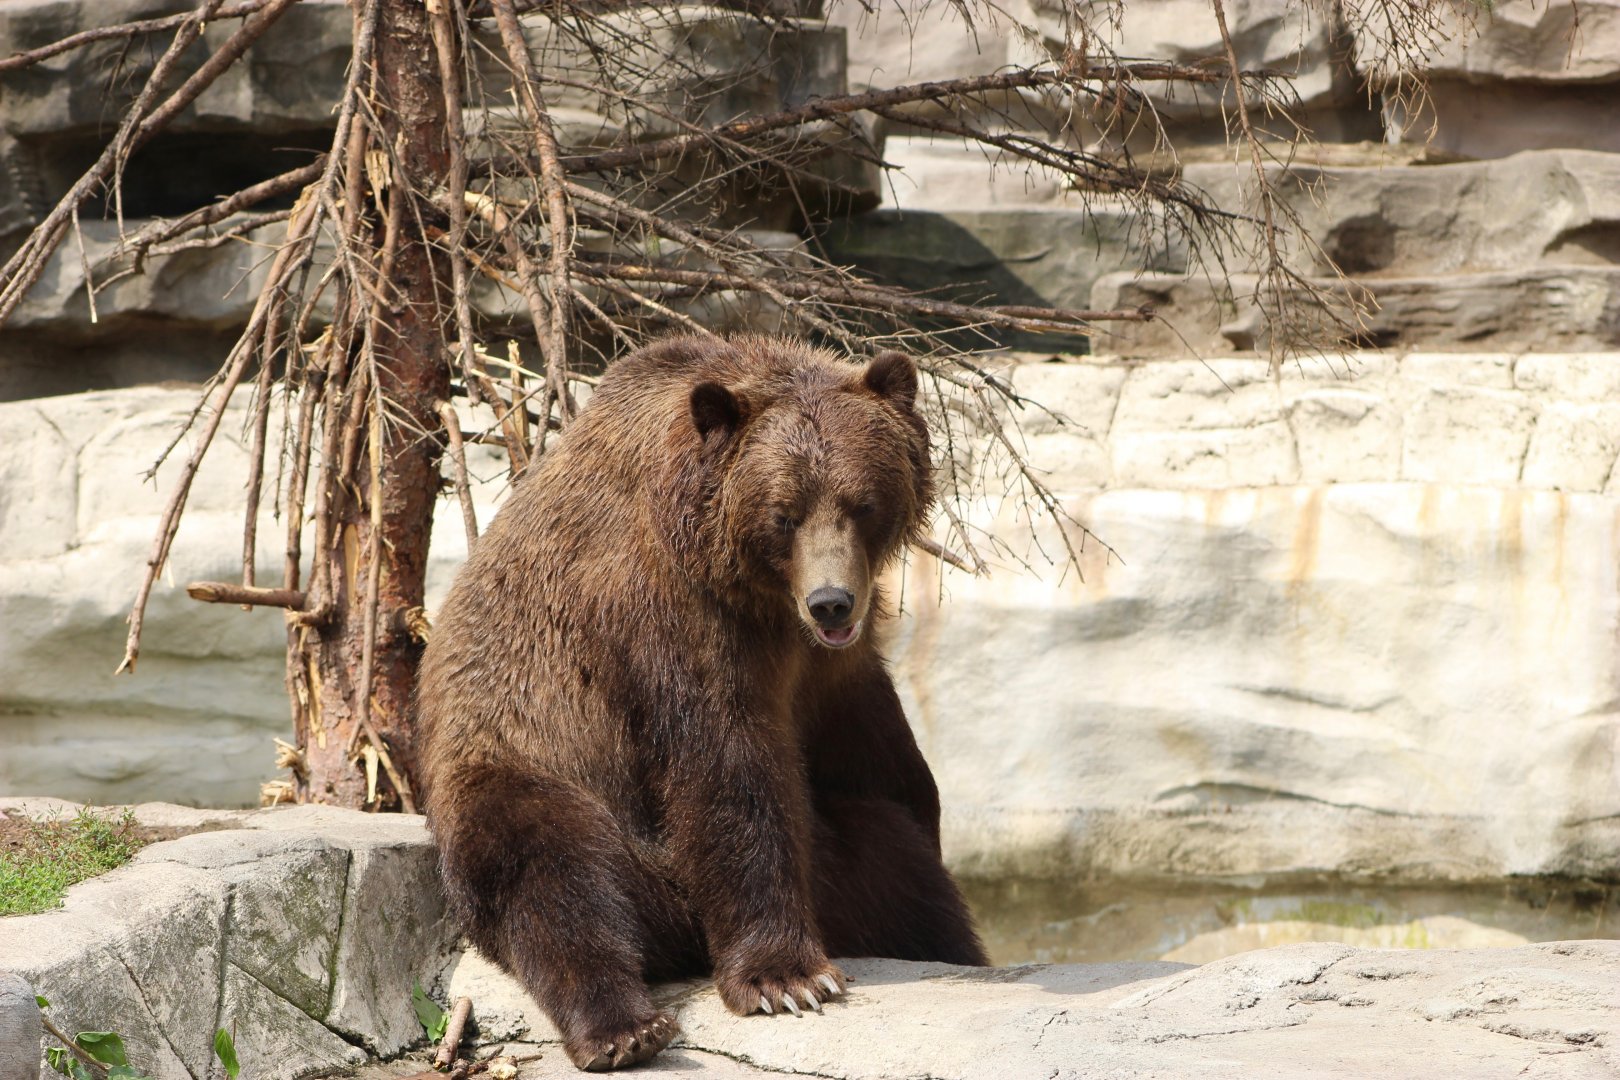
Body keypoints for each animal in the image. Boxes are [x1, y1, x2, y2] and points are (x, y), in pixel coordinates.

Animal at [416, 334, 987, 1072]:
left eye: (862, 503)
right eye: (785, 513)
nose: (831, 600)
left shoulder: (830, 668)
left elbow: (878, 754)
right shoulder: (667, 614)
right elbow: (726, 767)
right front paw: (788, 979)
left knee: (897, 870)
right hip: (525, 764)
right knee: (550, 875)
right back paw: (624, 1028)